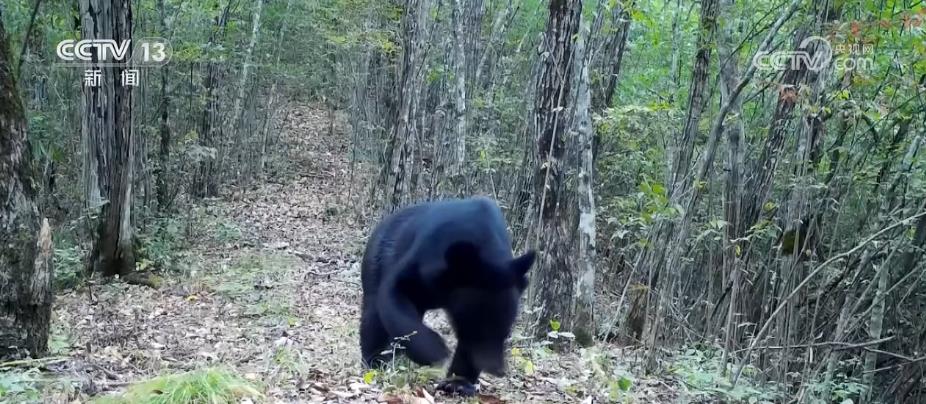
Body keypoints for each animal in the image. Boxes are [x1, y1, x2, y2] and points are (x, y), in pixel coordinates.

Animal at [360, 197, 536, 396]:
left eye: (506, 333)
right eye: (479, 330)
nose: (497, 369)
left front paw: (458, 382)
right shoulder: (423, 259)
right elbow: (394, 292)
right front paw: (436, 351)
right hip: (378, 256)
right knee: (373, 313)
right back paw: (376, 360)